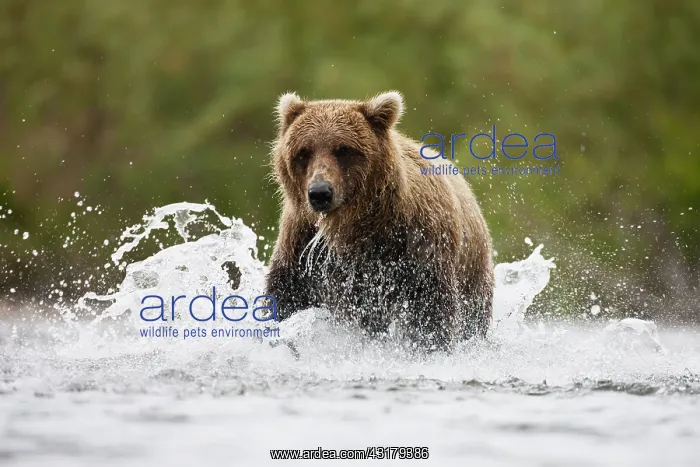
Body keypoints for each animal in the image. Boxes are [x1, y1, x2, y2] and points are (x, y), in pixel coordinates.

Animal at [264, 90, 494, 351]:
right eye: (304, 151)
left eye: (343, 149)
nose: (320, 193)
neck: (352, 225)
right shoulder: (303, 244)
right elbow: (287, 296)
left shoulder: (417, 244)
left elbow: (431, 310)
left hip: (472, 270)